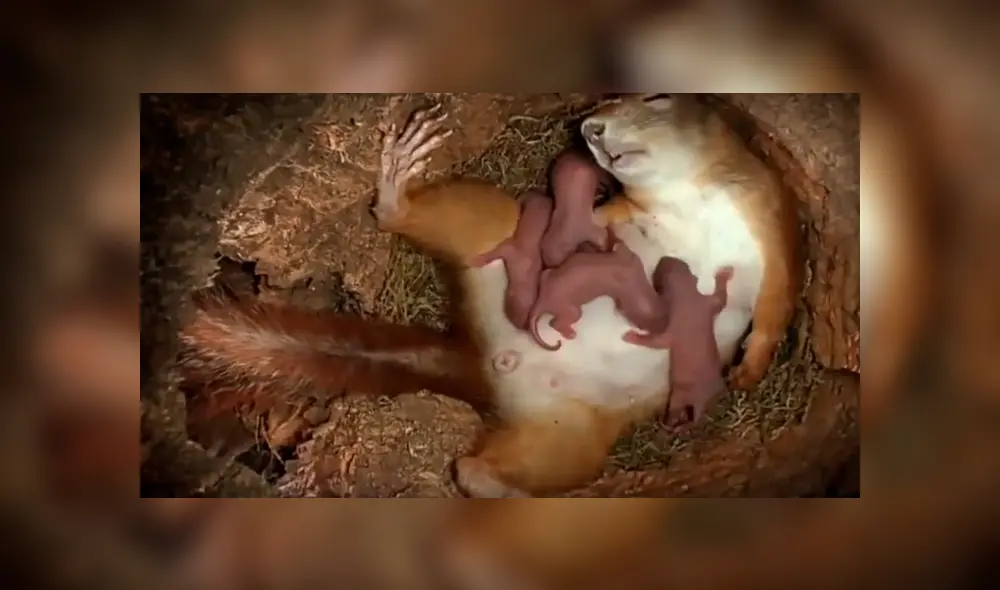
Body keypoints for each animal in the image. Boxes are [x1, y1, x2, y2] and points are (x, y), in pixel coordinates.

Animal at [179, 95, 802, 589]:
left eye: (658, 98)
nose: (591, 128)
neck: (689, 196)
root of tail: (486, 362)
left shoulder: (770, 228)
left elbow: (775, 308)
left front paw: (749, 368)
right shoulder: (620, 214)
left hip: (565, 440)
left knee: (484, 472)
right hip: (490, 225)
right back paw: (399, 180)